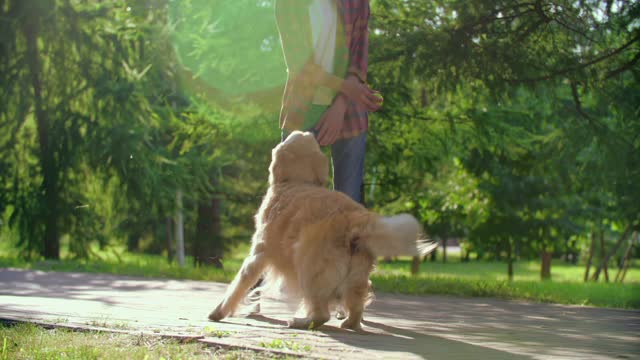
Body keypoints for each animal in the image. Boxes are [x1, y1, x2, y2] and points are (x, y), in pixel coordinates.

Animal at [209, 131, 436, 330]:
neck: (297, 181)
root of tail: (355, 219)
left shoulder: (258, 253)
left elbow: (239, 284)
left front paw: (218, 312)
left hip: (309, 269)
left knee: (322, 314)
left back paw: (299, 322)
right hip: (356, 277)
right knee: (355, 308)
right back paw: (347, 323)